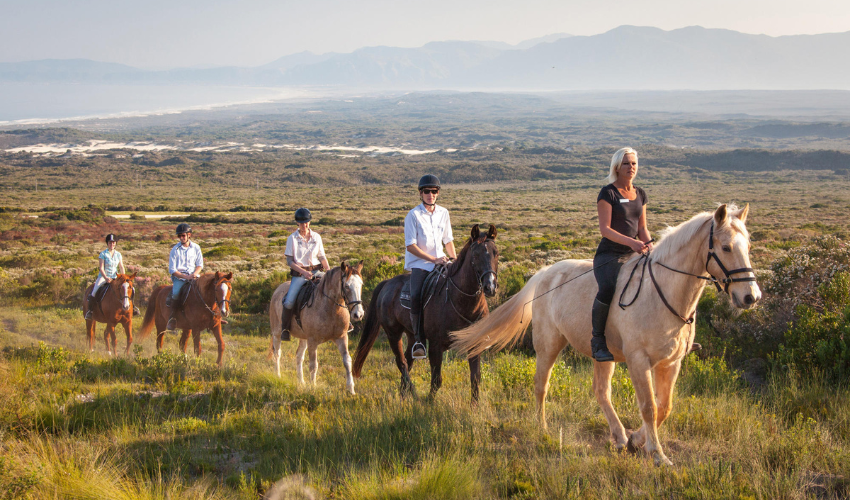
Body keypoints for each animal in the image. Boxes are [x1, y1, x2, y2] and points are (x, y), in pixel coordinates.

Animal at [268, 262, 365, 394]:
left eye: (361, 284)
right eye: (346, 286)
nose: (358, 314)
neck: (330, 308)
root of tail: (277, 290)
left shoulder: (341, 337)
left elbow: (347, 361)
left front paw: (351, 389)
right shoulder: (313, 341)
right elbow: (313, 365)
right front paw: (313, 387)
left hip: (303, 338)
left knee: (299, 356)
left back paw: (301, 381)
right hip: (277, 333)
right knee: (277, 353)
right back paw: (278, 375)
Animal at [353, 224, 499, 401]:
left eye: (496, 253)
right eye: (476, 255)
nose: (490, 286)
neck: (461, 301)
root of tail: (387, 283)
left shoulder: (474, 344)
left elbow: (475, 378)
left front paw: (474, 405)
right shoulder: (436, 345)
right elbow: (436, 379)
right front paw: (429, 403)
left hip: (411, 335)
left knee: (408, 360)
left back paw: (404, 395)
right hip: (393, 333)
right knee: (401, 362)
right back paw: (413, 393)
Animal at [452, 205, 761, 466]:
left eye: (748, 246)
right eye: (725, 247)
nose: (751, 297)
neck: (663, 293)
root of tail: (545, 271)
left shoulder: (671, 363)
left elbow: (665, 406)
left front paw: (637, 439)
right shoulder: (639, 361)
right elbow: (649, 407)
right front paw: (657, 454)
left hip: (603, 354)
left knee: (601, 392)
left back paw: (620, 436)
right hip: (548, 345)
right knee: (541, 385)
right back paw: (543, 430)